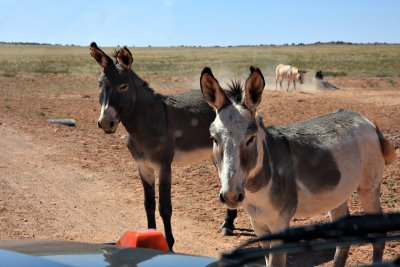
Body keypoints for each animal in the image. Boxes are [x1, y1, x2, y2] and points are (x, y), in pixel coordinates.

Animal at [89, 43, 236, 250]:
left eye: (123, 86)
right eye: (99, 85)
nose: (105, 123)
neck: (146, 122)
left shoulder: (164, 166)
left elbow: (164, 207)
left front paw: (170, 243)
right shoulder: (143, 166)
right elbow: (148, 204)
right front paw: (150, 235)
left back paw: (228, 225)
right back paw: (227, 224)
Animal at [200, 66, 394, 266]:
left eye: (250, 139)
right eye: (214, 139)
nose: (231, 196)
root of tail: (365, 119)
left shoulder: (279, 224)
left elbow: (276, 263)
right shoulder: (258, 224)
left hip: (368, 187)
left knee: (379, 233)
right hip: (337, 193)